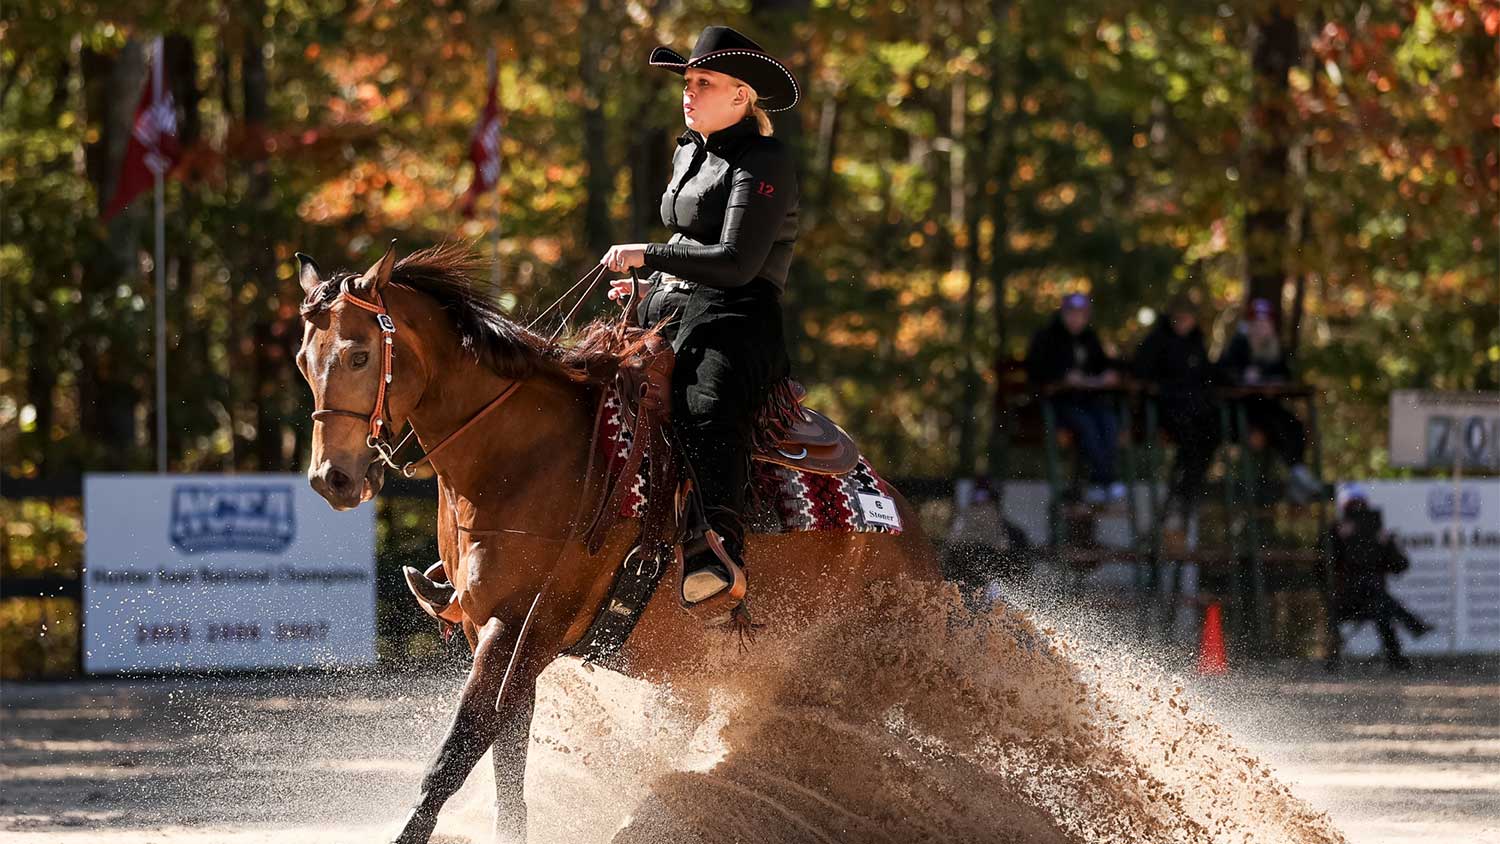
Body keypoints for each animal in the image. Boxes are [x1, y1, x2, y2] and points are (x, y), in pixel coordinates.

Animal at [292, 241, 936, 839]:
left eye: (359, 354)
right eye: (303, 360)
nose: (332, 479)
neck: (519, 454)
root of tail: (906, 527)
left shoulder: (524, 626)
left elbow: (461, 749)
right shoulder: (490, 629)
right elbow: (507, 751)